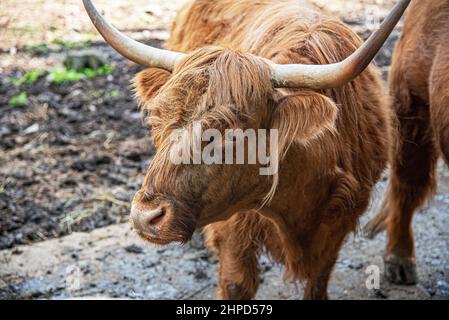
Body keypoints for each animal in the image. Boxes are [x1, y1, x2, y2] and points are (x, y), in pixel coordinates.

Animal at [83, 0, 410, 300]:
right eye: (156, 117)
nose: (146, 216)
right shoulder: (233, 232)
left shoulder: (334, 232)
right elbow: (236, 284)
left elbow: (317, 284)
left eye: (231, 133)